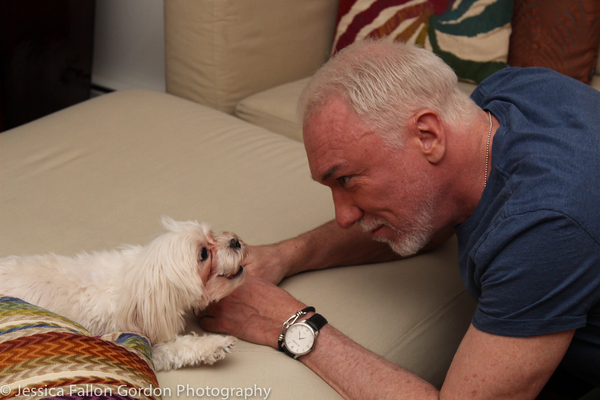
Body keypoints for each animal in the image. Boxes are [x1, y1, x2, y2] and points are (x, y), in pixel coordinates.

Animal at [0, 217, 246, 370]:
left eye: (212, 234)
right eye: (203, 254)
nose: (235, 241)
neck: (138, 281)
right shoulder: (133, 336)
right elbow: (174, 347)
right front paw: (216, 344)